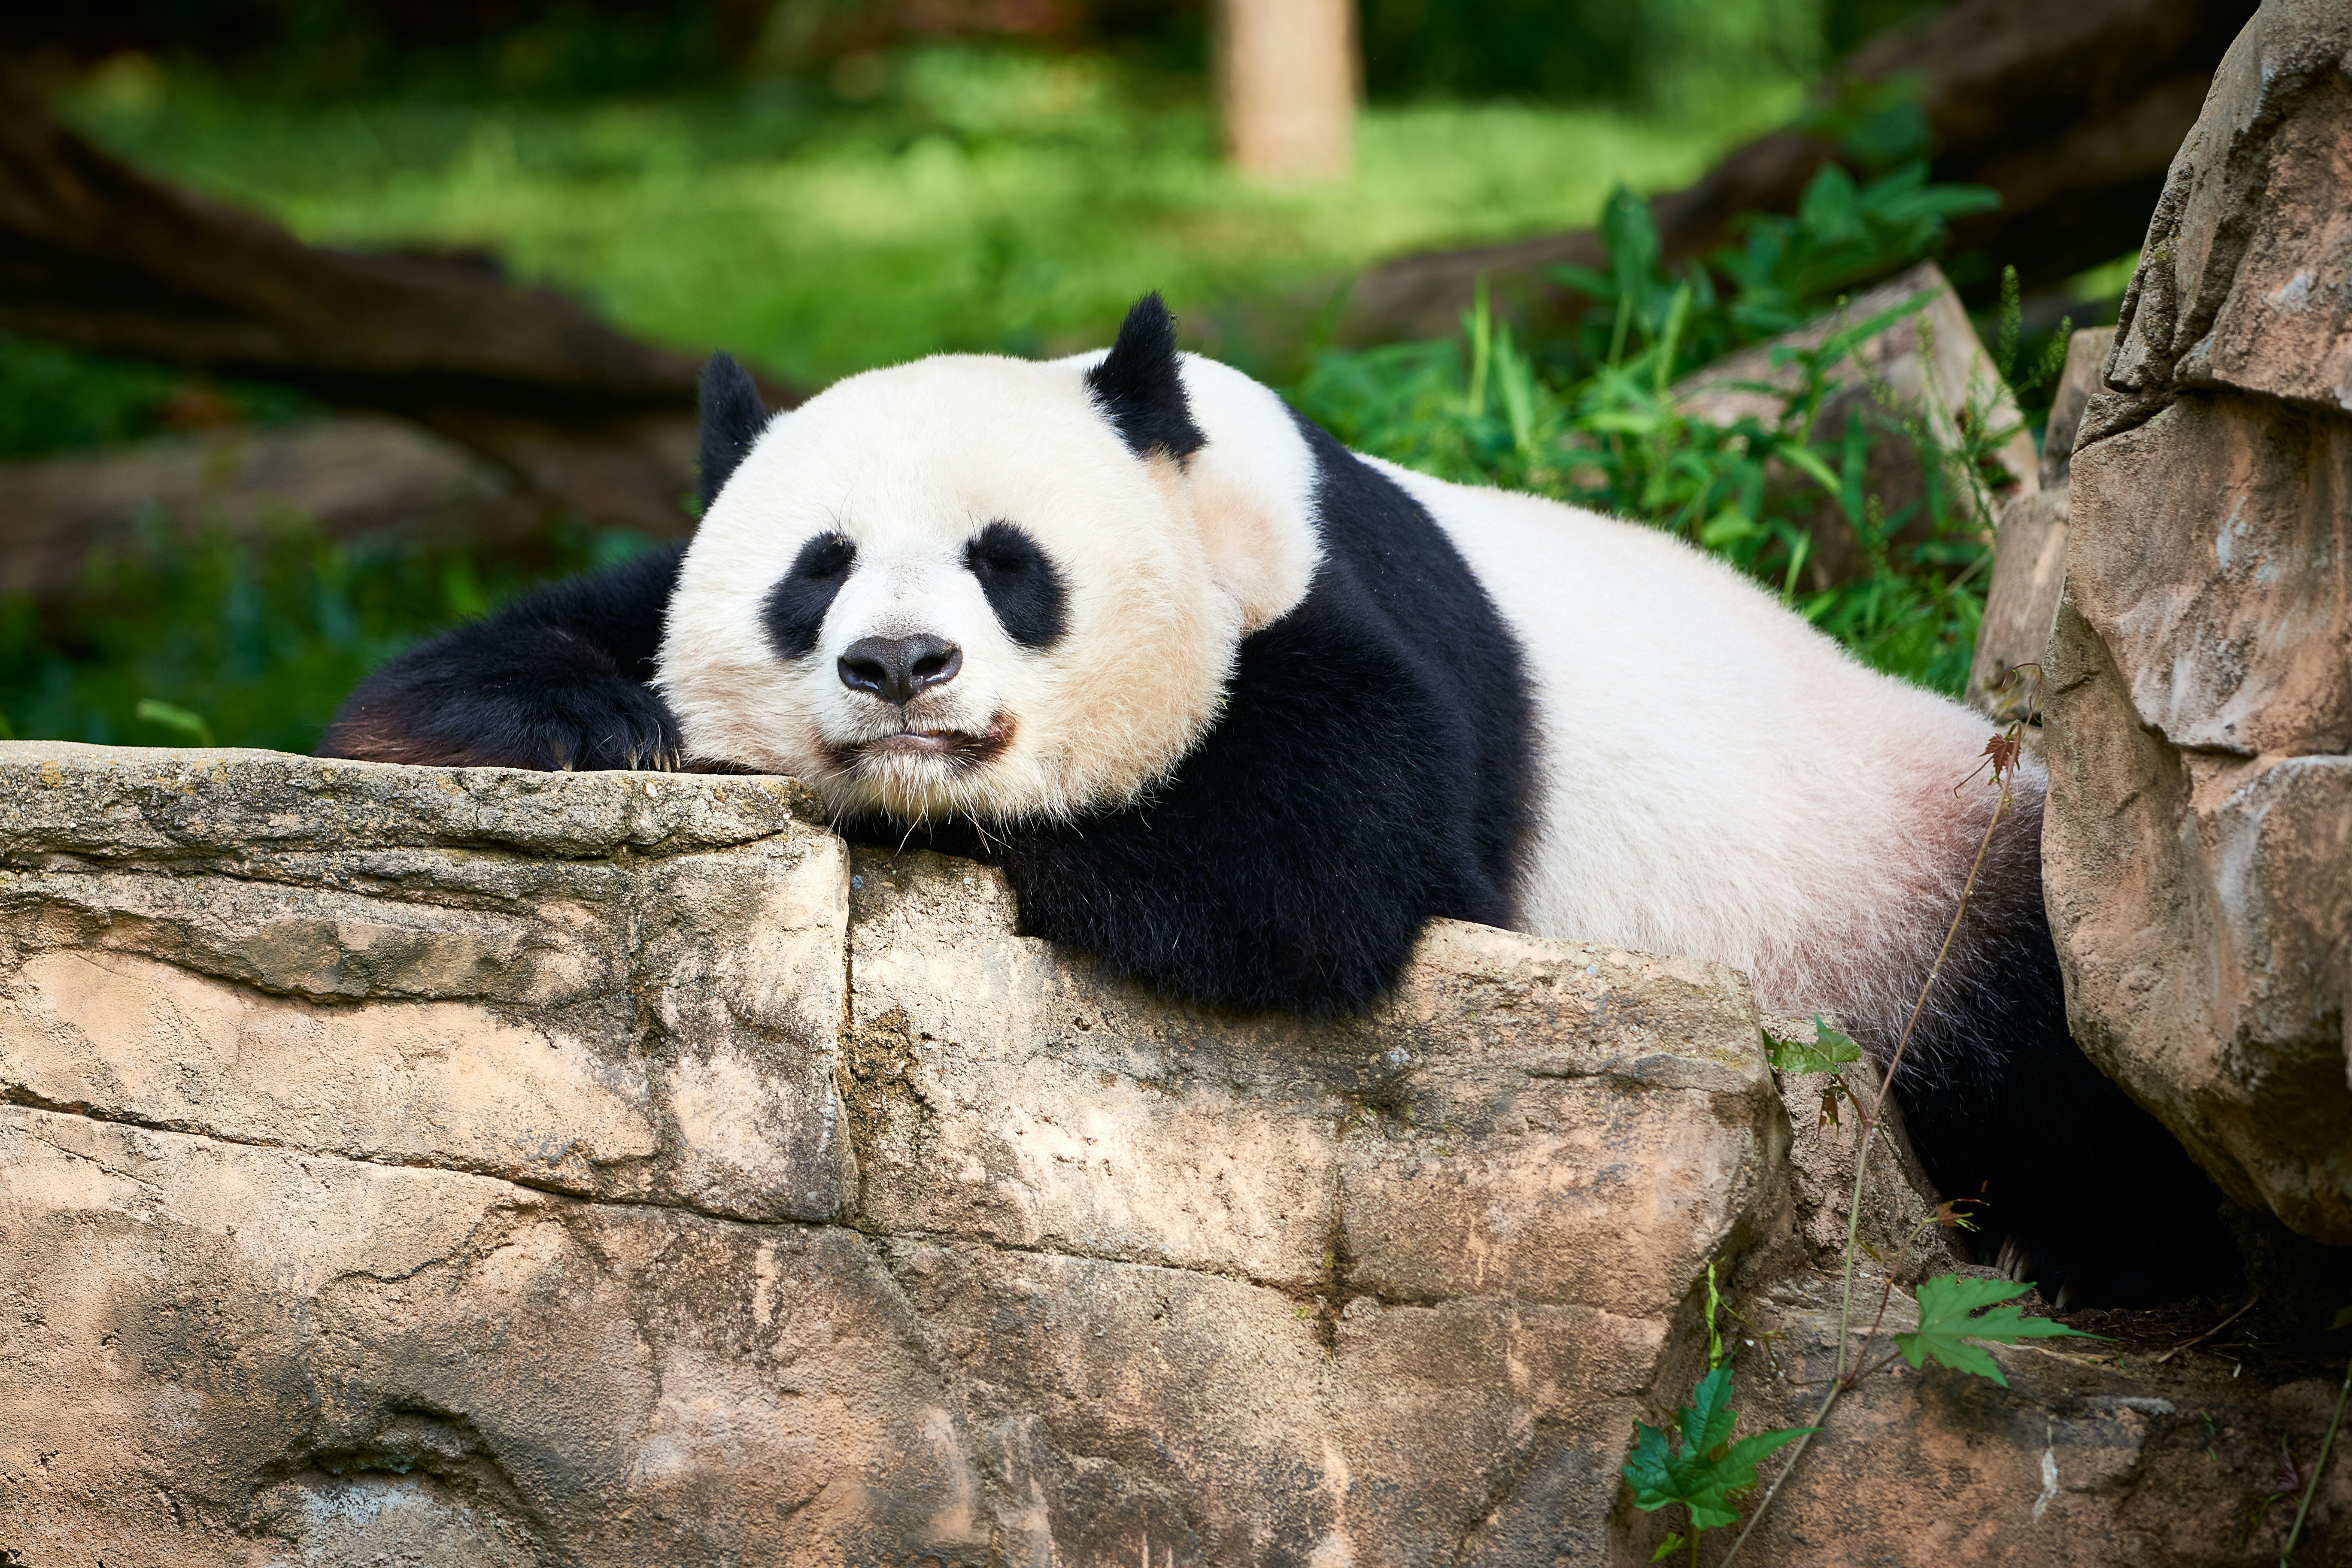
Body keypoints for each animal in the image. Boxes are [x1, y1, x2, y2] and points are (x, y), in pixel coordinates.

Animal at [324, 293, 2234, 1308]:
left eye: (1008, 566)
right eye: (815, 571)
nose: (897, 670)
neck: (1191, 459)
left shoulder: (1339, 622)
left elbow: (1306, 860)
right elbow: (472, 664)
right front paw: (587, 721)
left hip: (1921, 889)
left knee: (2053, 1070)